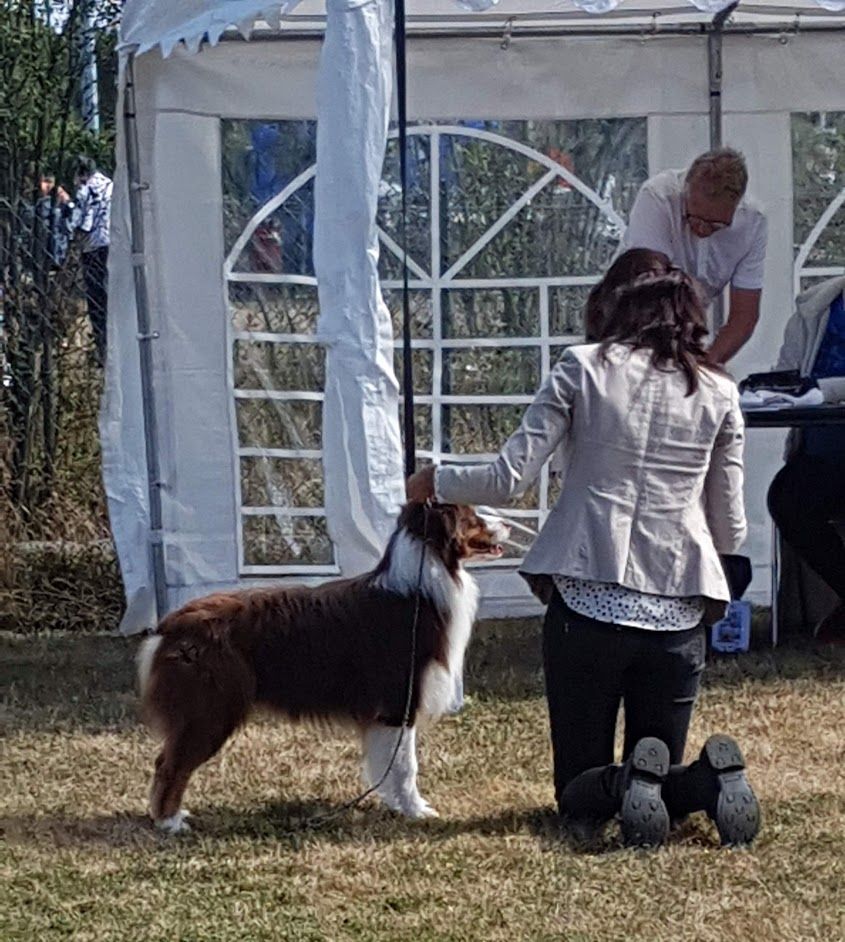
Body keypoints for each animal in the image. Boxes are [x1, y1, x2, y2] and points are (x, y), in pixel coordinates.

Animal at [137, 501, 509, 833]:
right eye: (471, 516)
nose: (507, 522)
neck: (422, 582)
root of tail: (171, 624)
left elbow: (388, 764)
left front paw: (395, 804)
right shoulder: (398, 702)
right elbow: (406, 765)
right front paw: (416, 811)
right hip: (210, 710)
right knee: (170, 764)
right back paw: (170, 821)